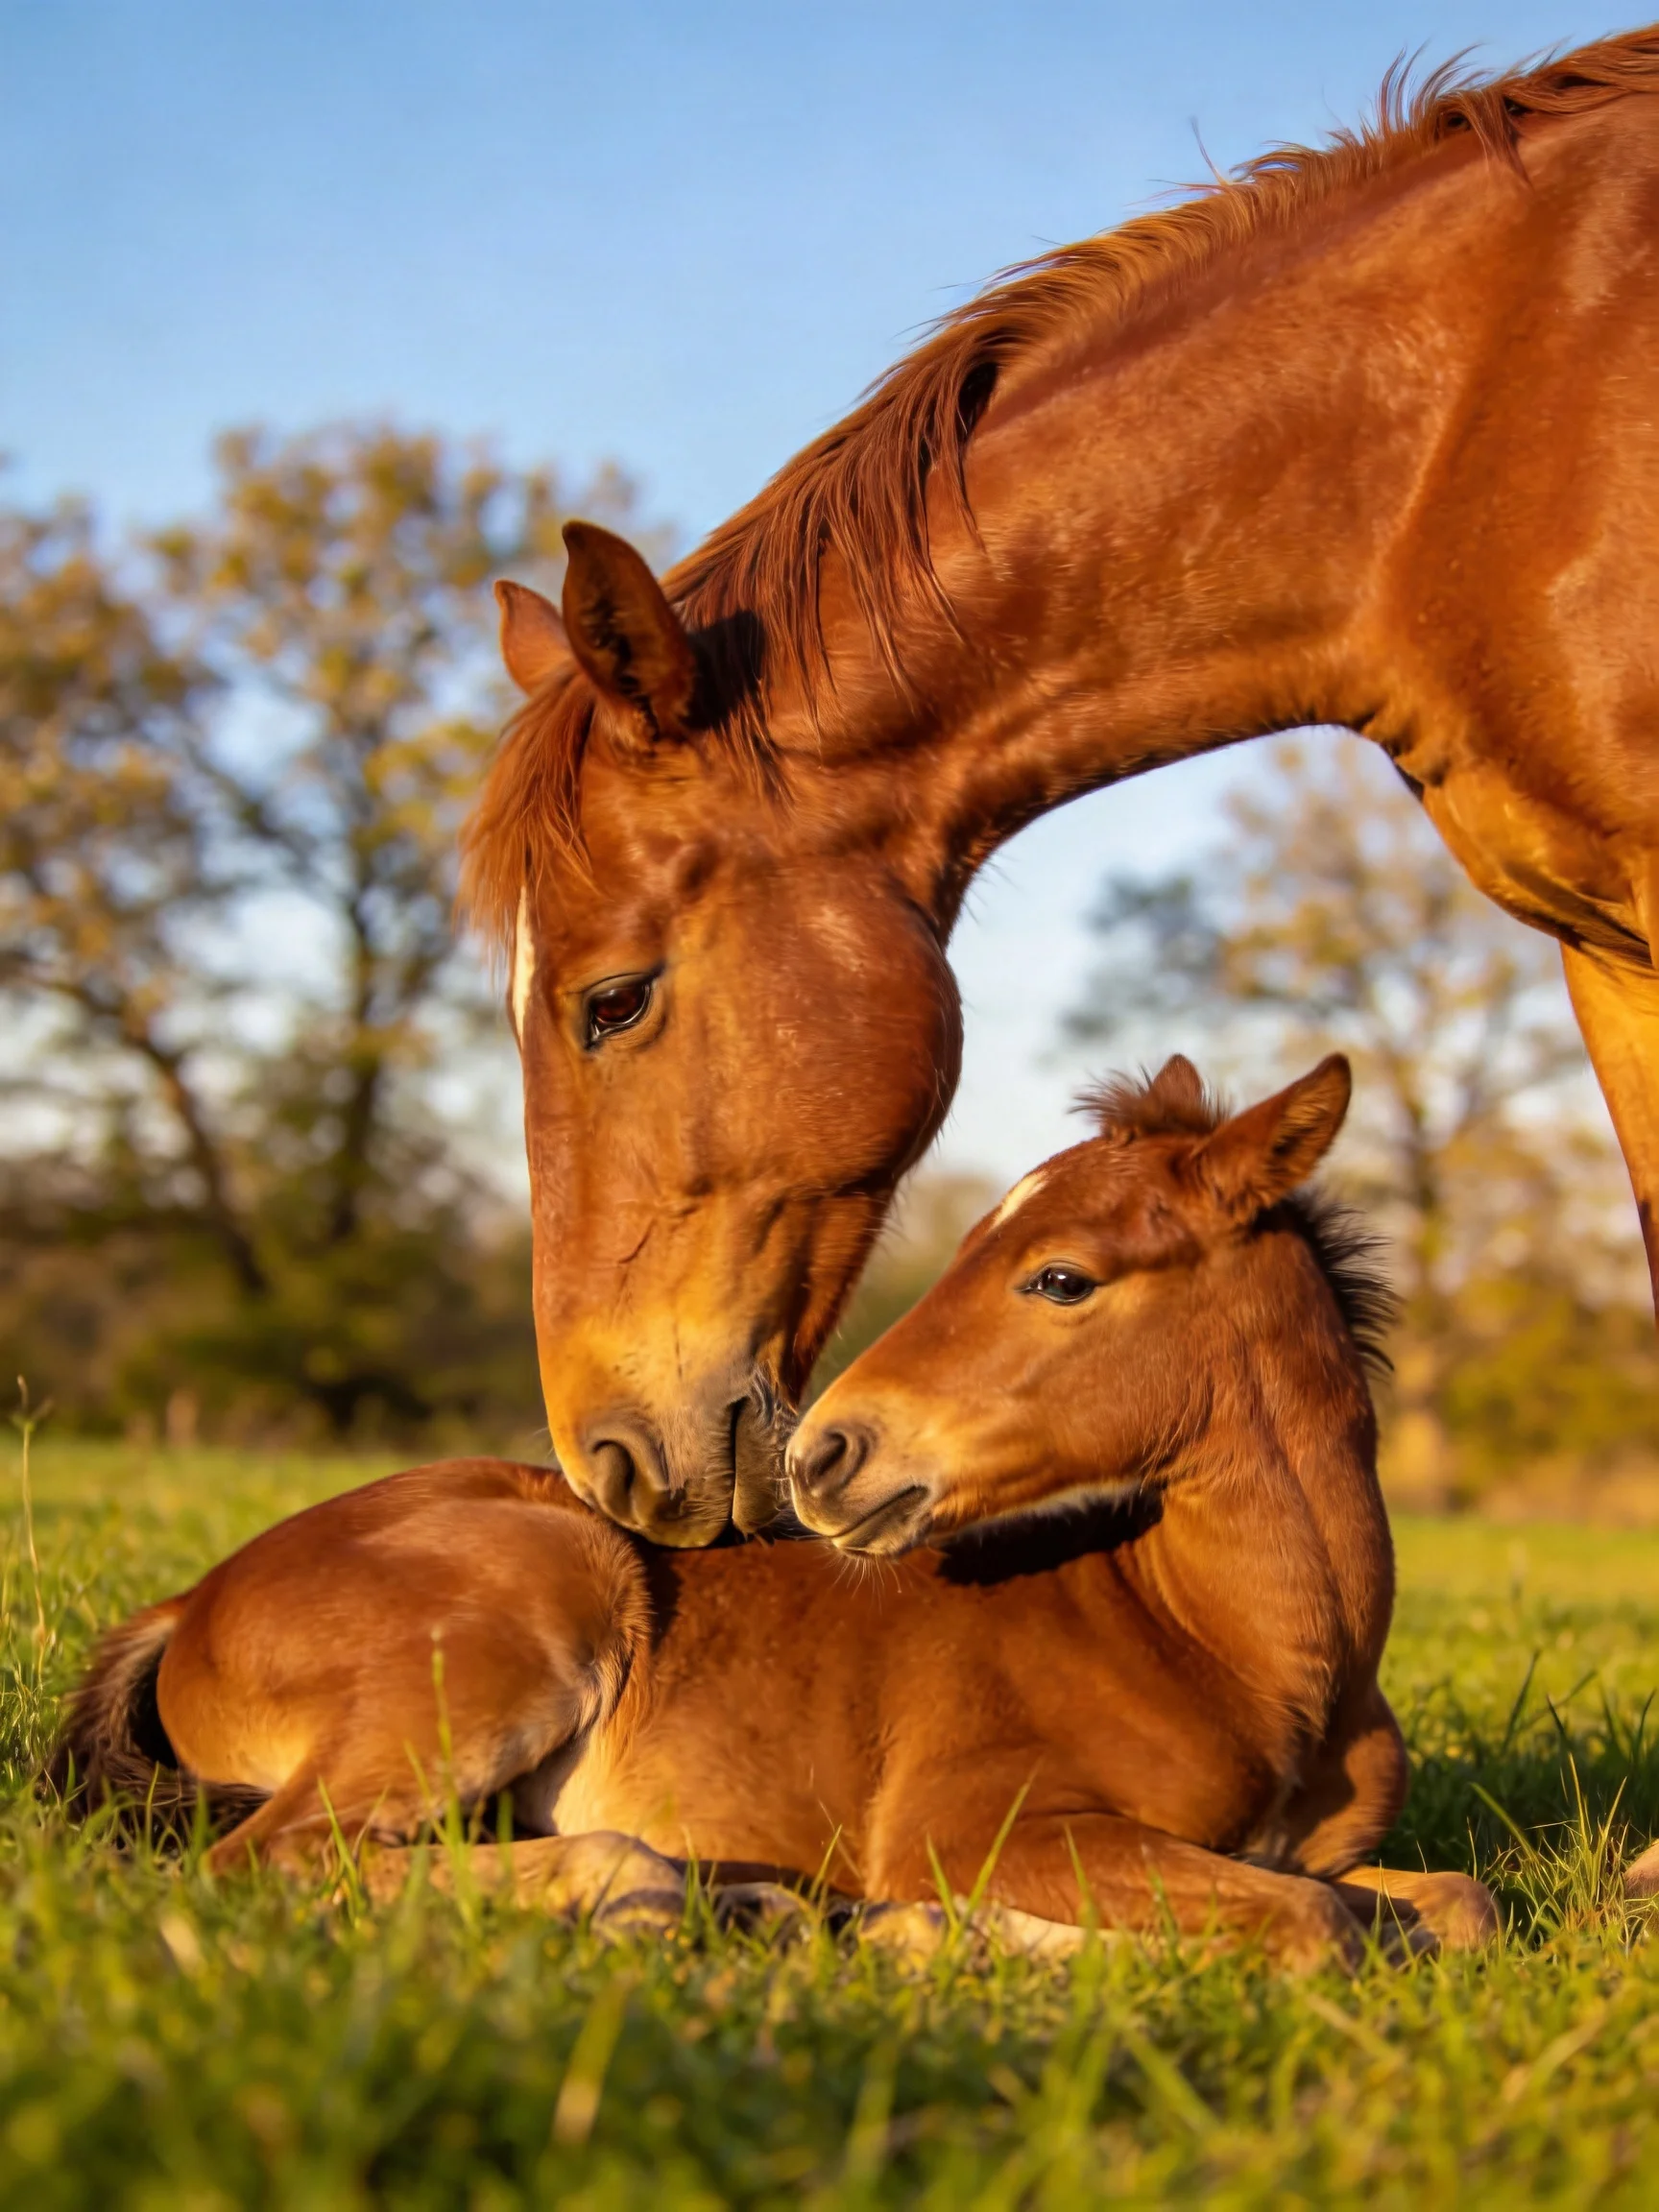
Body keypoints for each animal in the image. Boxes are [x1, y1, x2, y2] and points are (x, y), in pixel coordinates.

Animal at [52, 1056, 1496, 1966]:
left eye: (1061, 1277)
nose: (825, 1455)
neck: (1237, 1651)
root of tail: (194, 1599)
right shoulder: (983, 1827)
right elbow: (1318, 1927)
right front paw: (959, 1930)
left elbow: (1450, 1901)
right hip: (520, 1622)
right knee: (286, 1857)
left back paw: (765, 1910)